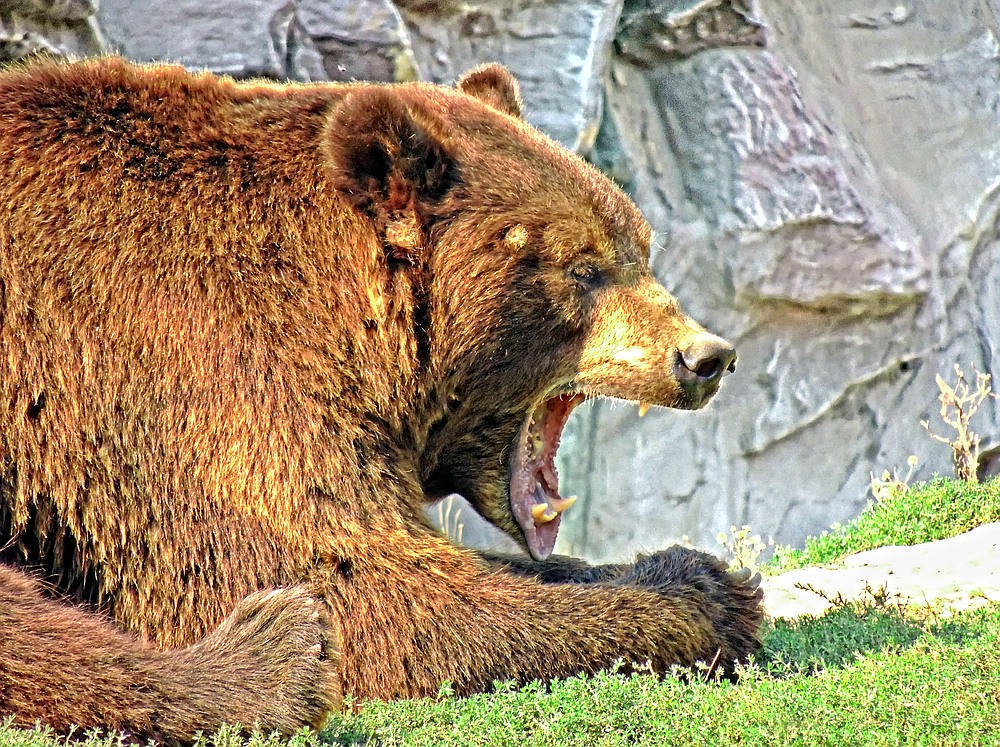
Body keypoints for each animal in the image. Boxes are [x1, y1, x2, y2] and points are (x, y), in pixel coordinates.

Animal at [0, 57, 760, 744]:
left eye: (641, 247)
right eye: (584, 266)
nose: (704, 356)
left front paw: (641, 568)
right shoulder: (190, 367)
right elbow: (363, 586)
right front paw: (704, 588)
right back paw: (272, 656)